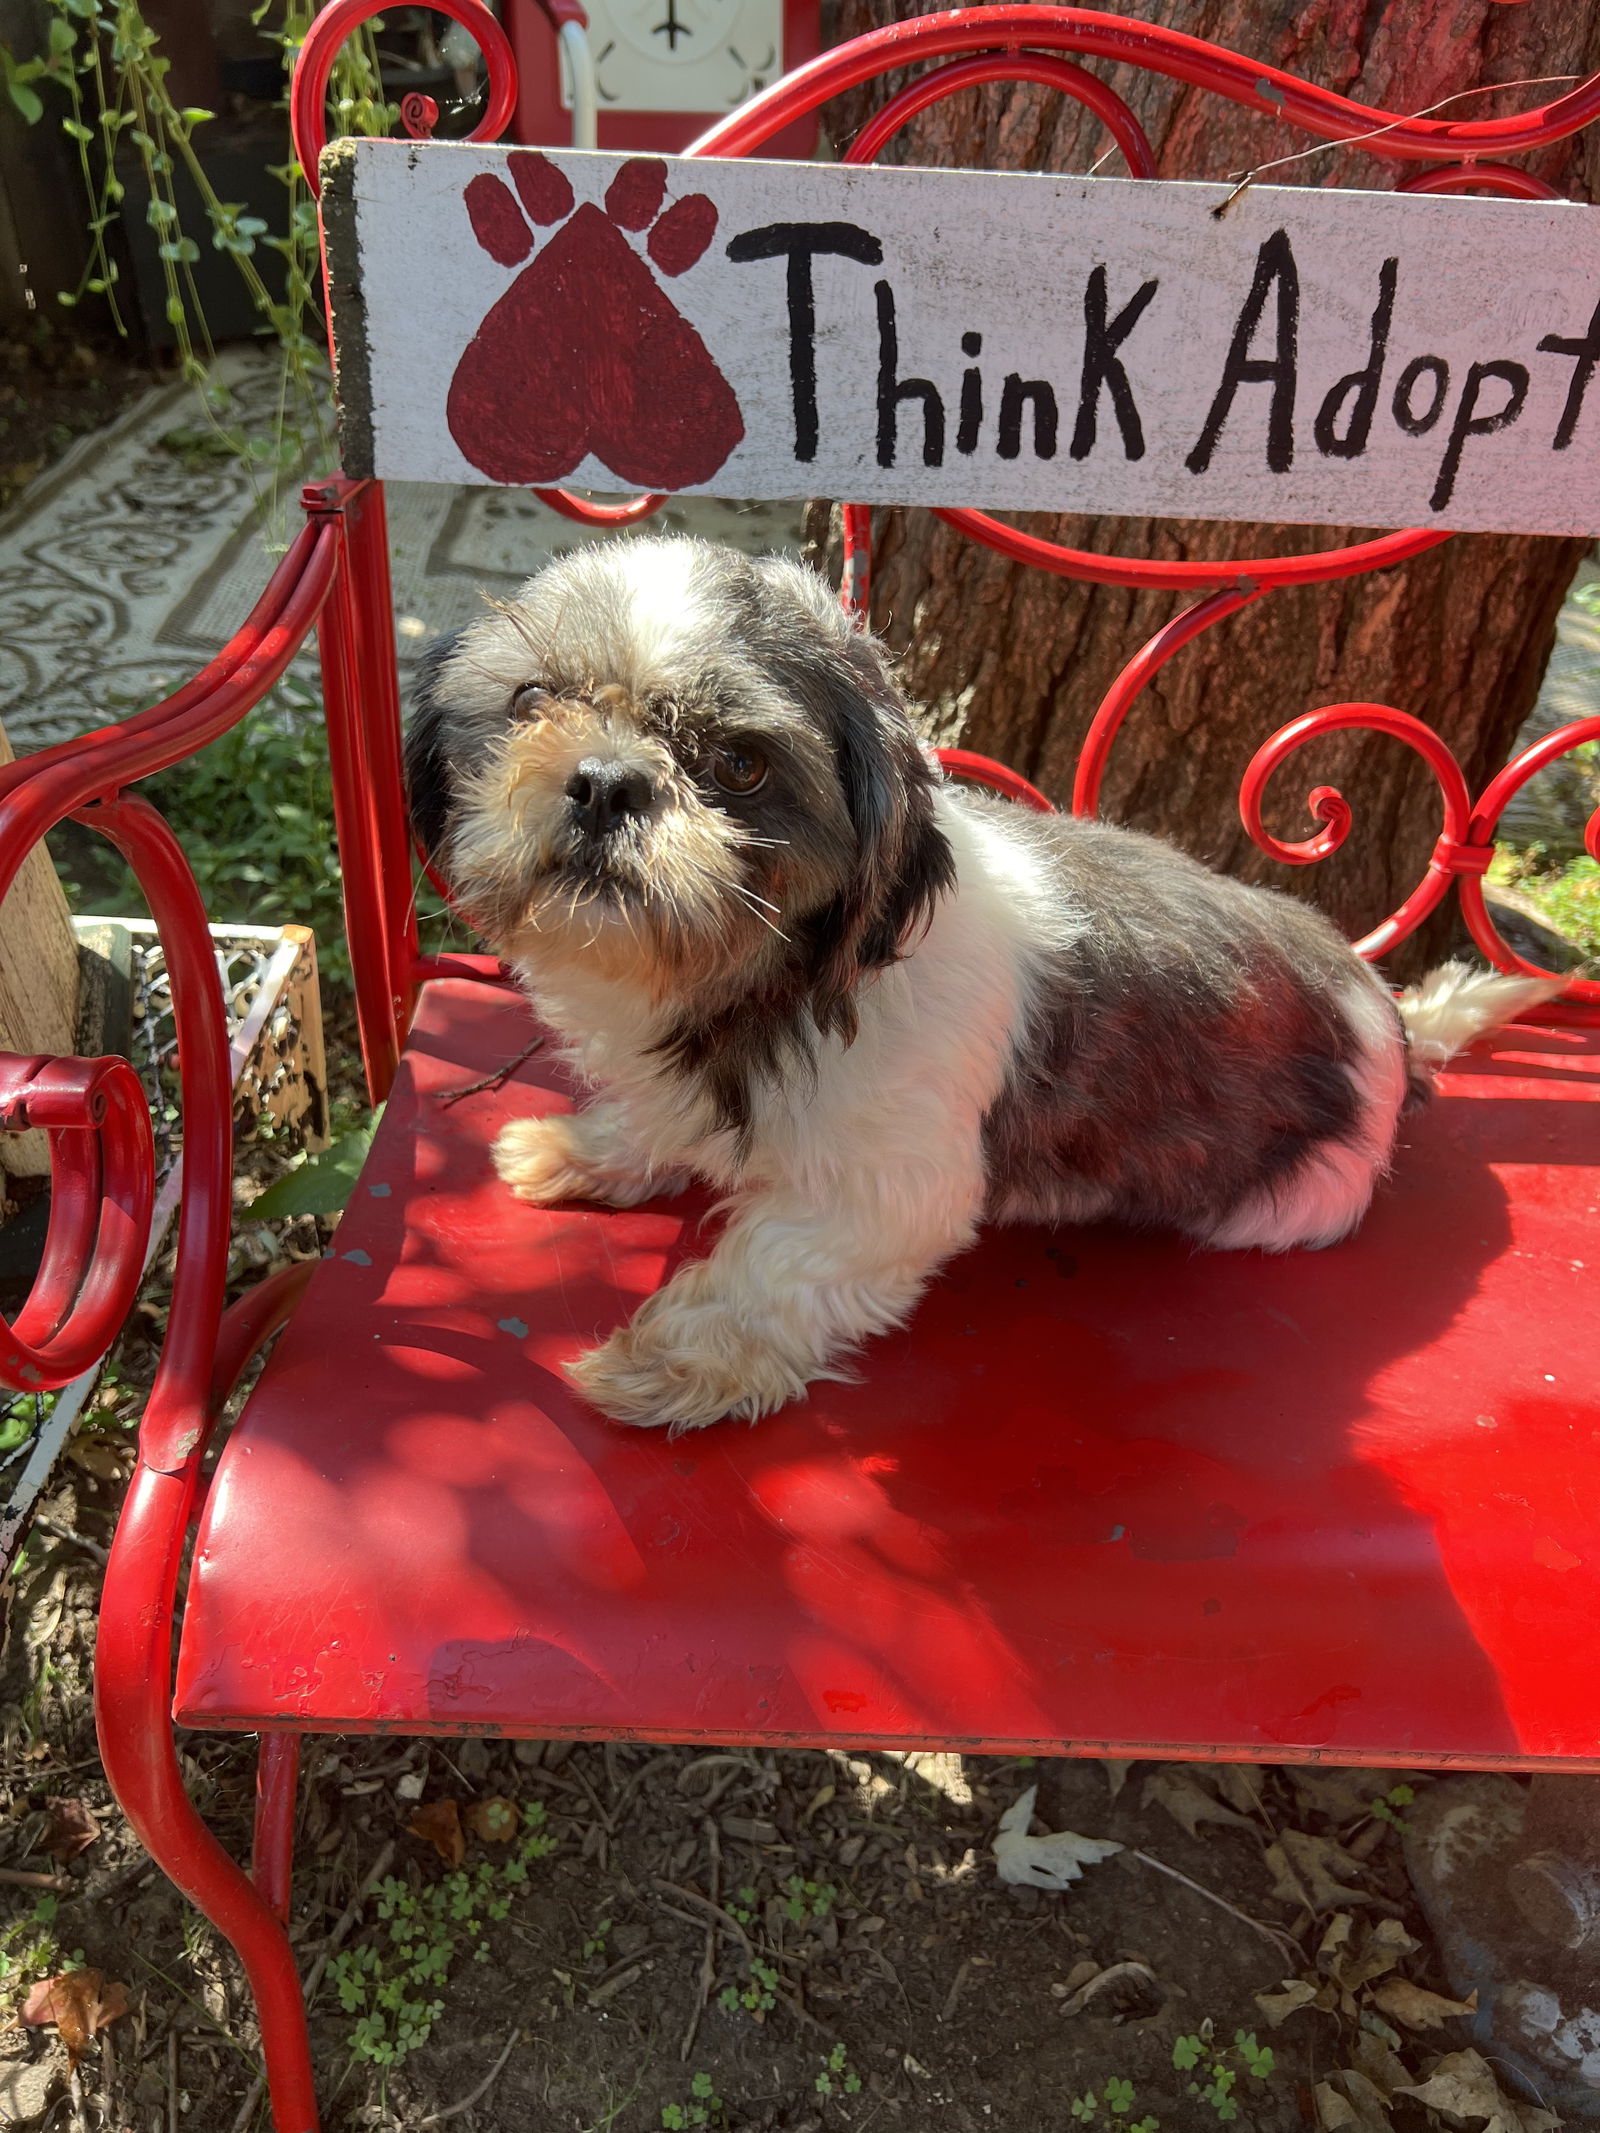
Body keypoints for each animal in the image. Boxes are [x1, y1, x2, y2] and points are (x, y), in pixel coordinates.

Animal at [407, 533, 1561, 1433]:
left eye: (739, 764)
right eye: (530, 700)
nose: (607, 782)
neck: (761, 986)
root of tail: (1384, 1013)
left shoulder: (886, 1187)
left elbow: (768, 1270)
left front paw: (671, 1363)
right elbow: (654, 1122)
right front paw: (591, 1147)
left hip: (1296, 1199)